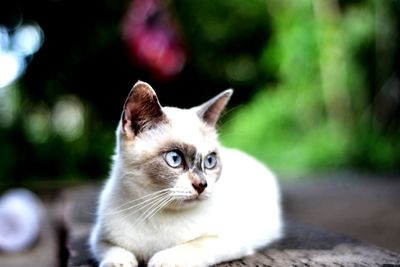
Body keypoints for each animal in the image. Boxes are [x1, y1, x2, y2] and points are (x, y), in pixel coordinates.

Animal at [90, 81, 284, 267]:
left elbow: (192, 246)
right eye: (175, 158)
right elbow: (114, 251)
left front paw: (161, 260)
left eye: (210, 161)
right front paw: (120, 262)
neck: (157, 211)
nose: (202, 185)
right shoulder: (98, 239)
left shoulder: (228, 240)